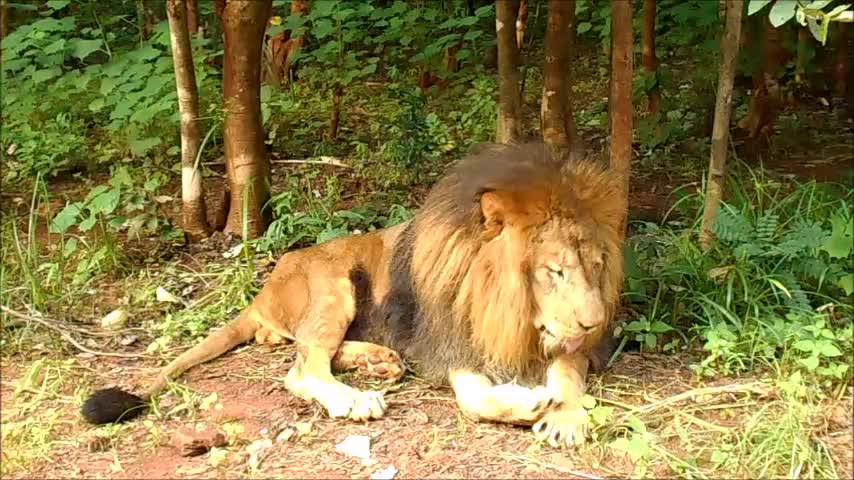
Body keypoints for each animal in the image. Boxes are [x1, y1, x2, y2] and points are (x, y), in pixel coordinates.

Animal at [82, 142, 620, 450]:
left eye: (595, 266)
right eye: (554, 271)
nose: (594, 323)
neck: (504, 308)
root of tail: (263, 291)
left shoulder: (569, 343)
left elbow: (567, 373)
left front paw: (565, 416)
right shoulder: (445, 344)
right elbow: (474, 398)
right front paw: (530, 404)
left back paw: (379, 361)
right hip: (333, 286)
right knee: (302, 370)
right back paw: (354, 399)